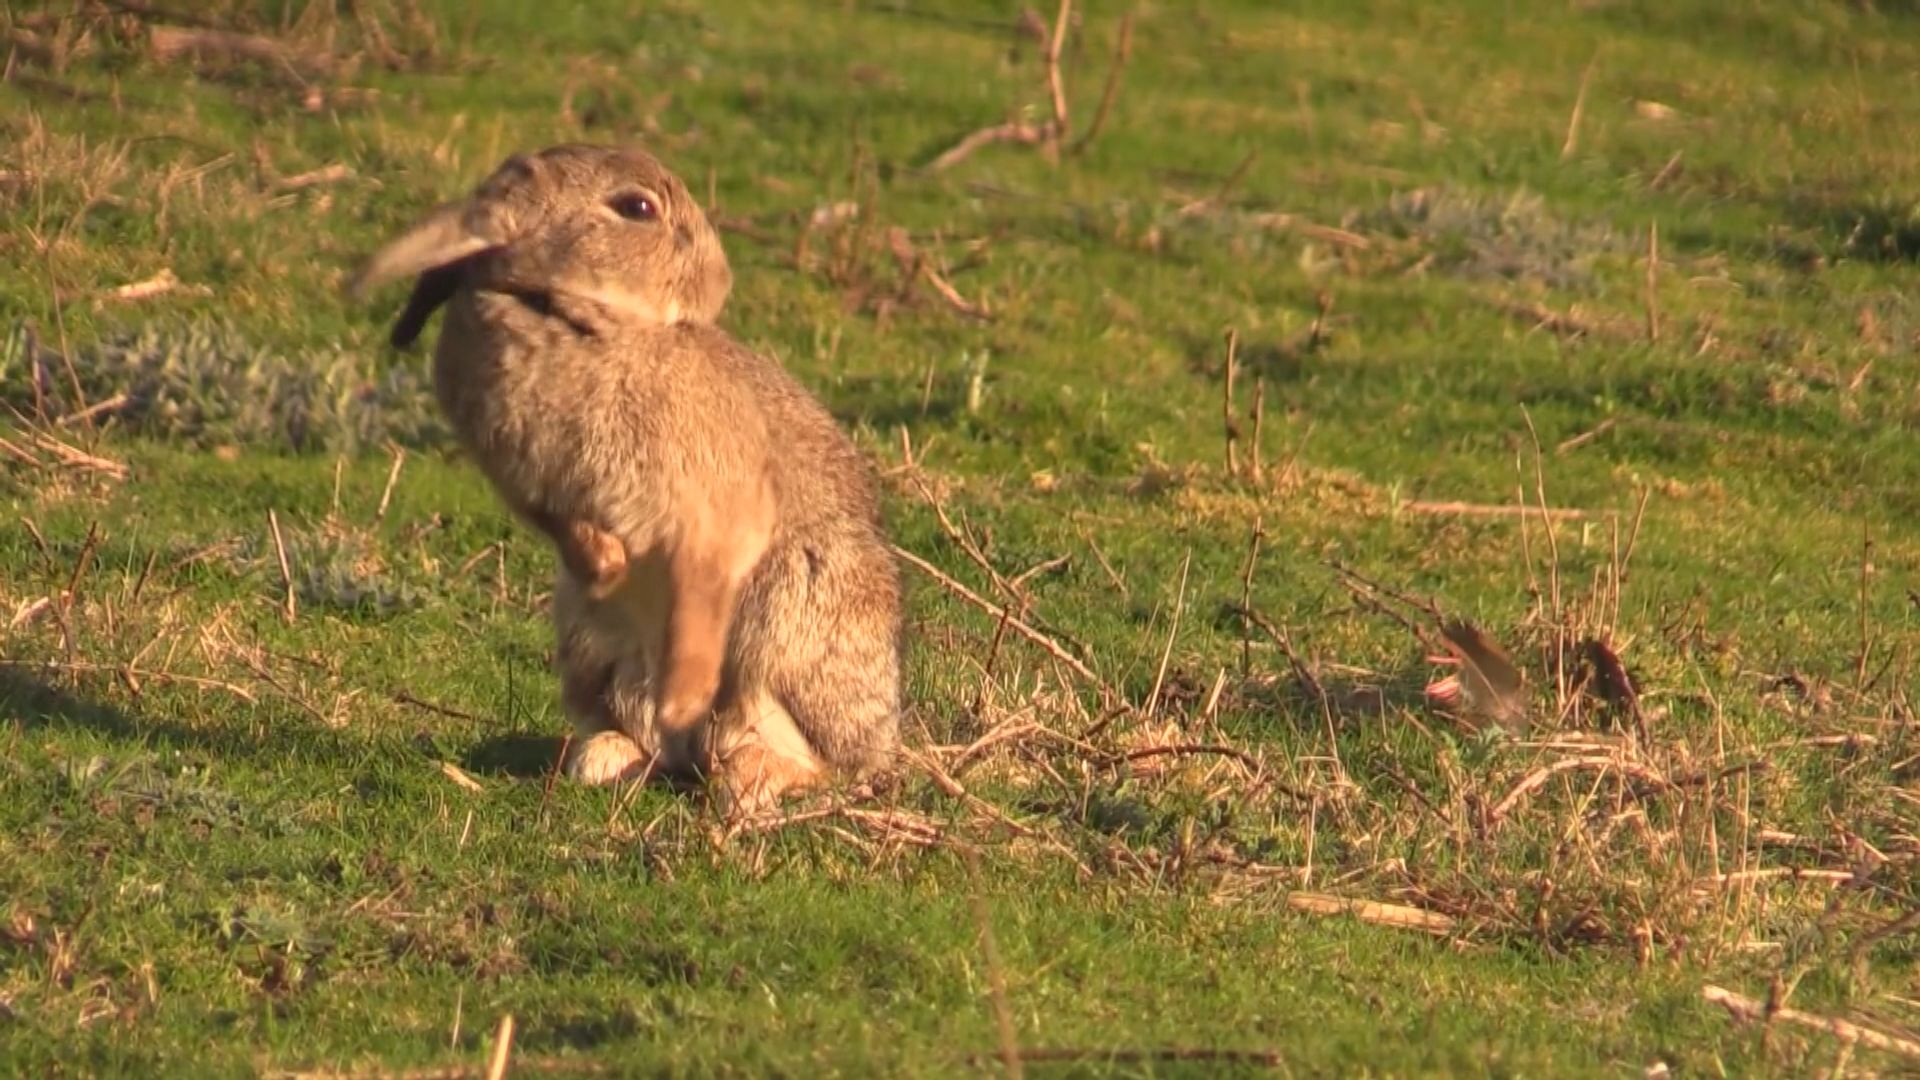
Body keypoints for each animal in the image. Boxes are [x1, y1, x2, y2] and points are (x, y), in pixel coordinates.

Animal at [349, 145, 902, 814]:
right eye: (637, 208)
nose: (719, 279)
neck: (575, 317)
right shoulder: (544, 497)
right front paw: (608, 569)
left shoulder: (713, 518)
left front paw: (685, 693)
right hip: (600, 652)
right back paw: (607, 756)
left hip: (788, 628)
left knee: (810, 756)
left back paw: (748, 776)